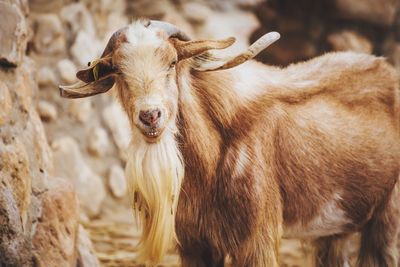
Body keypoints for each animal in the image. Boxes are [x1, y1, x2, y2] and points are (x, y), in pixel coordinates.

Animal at [59, 19, 400, 266]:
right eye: (118, 70)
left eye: (172, 62)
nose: (150, 116)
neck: (211, 161)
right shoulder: (195, 244)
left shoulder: (257, 240)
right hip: (336, 231)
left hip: (388, 219)